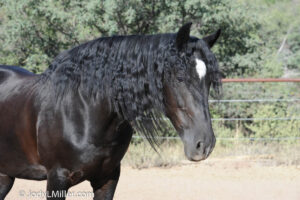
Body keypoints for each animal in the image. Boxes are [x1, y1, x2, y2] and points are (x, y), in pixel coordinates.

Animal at [0, 22, 220, 199]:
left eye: (209, 80)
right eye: (180, 77)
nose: (204, 145)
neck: (84, 111)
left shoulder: (107, 178)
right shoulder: (57, 179)